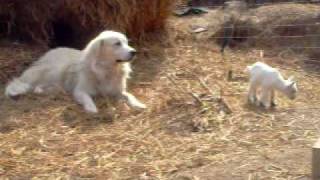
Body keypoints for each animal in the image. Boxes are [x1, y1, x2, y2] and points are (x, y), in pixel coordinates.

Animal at [4, 30, 147, 113]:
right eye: (117, 44)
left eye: (126, 42)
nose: (134, 52)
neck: (106, 69)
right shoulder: (80, 91)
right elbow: (87, 98)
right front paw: (91, 108)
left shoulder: (118, 91)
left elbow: (130, 95)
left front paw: (138, 104)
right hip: (56, 70)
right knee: (35, 87)